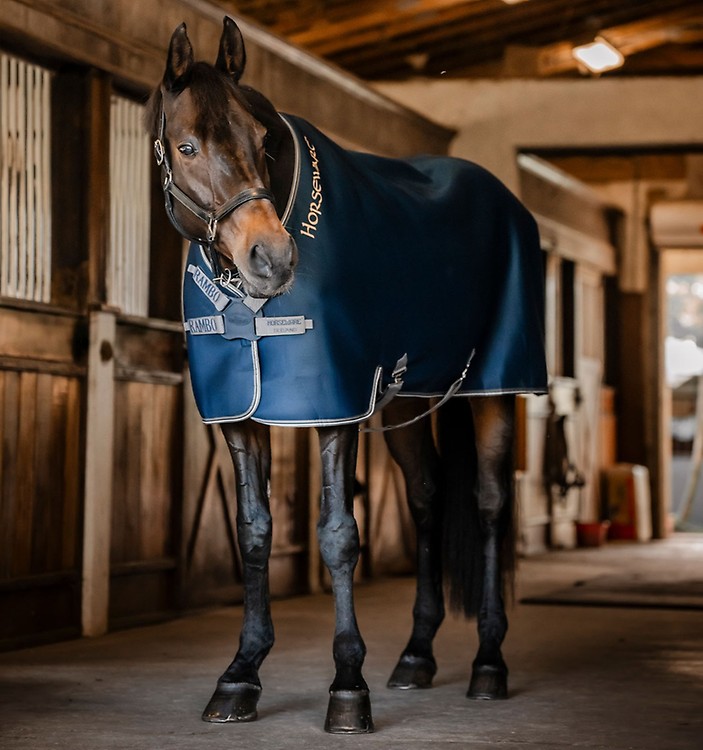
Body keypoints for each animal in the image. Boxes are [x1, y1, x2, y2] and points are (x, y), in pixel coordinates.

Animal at [147, 17, 548, 734]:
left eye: (260, 140)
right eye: (186, 145)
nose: (272, 259)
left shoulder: (334, 409)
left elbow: (338, 536)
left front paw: (347, 686)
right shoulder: (240, 419)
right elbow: (253, 533)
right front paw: (240, 674)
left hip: (495, 392)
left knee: (489, 504)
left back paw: (487, 665)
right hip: (407, 403)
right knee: (425, 500)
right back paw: (416, 656)